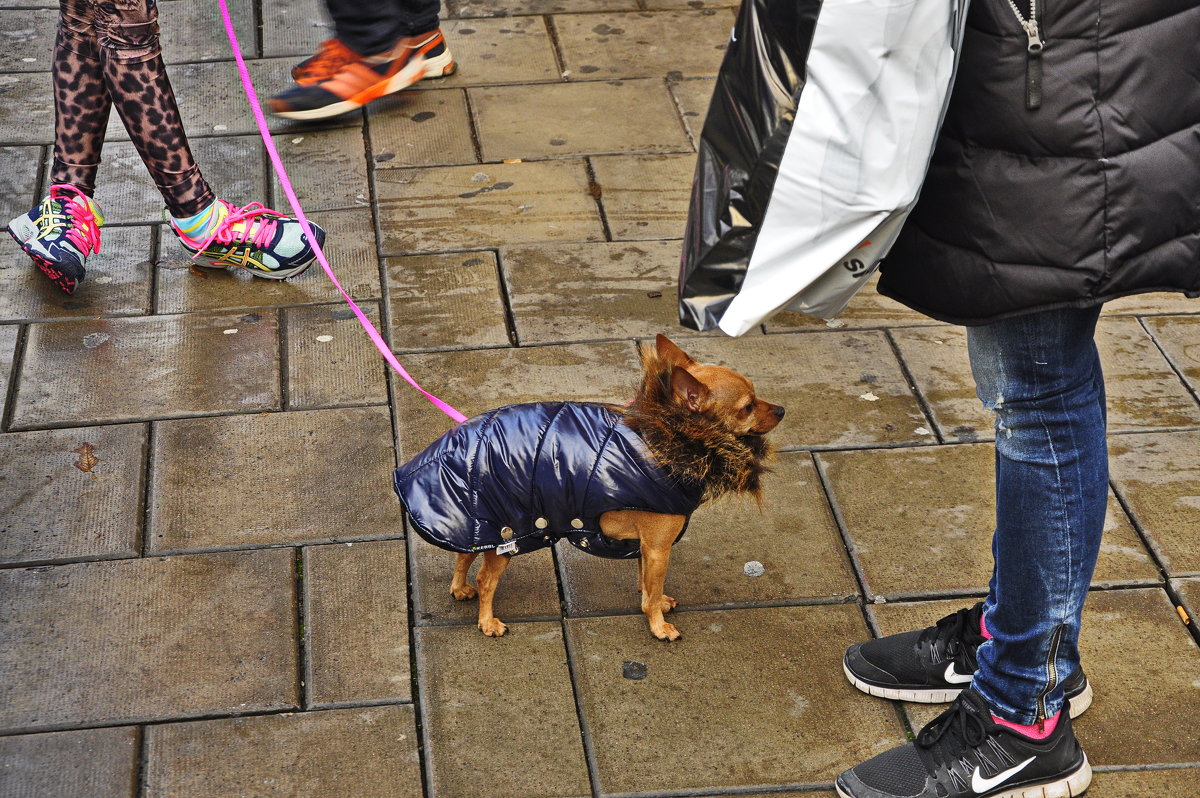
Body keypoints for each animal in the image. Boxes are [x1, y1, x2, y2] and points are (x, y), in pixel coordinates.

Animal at [396, 333, 787, 638]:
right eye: (748, 406)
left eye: (757, 398)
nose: (782, 409)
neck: (669, 437)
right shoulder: (659, 547)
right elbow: (651, 588)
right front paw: (658, 625)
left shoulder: (645, 548)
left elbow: (646, 583)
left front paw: (657, 603)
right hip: (508, 534)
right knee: (486, 580)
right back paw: (487, 621)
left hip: (477, 525)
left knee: (464, 555)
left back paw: (460, 588)